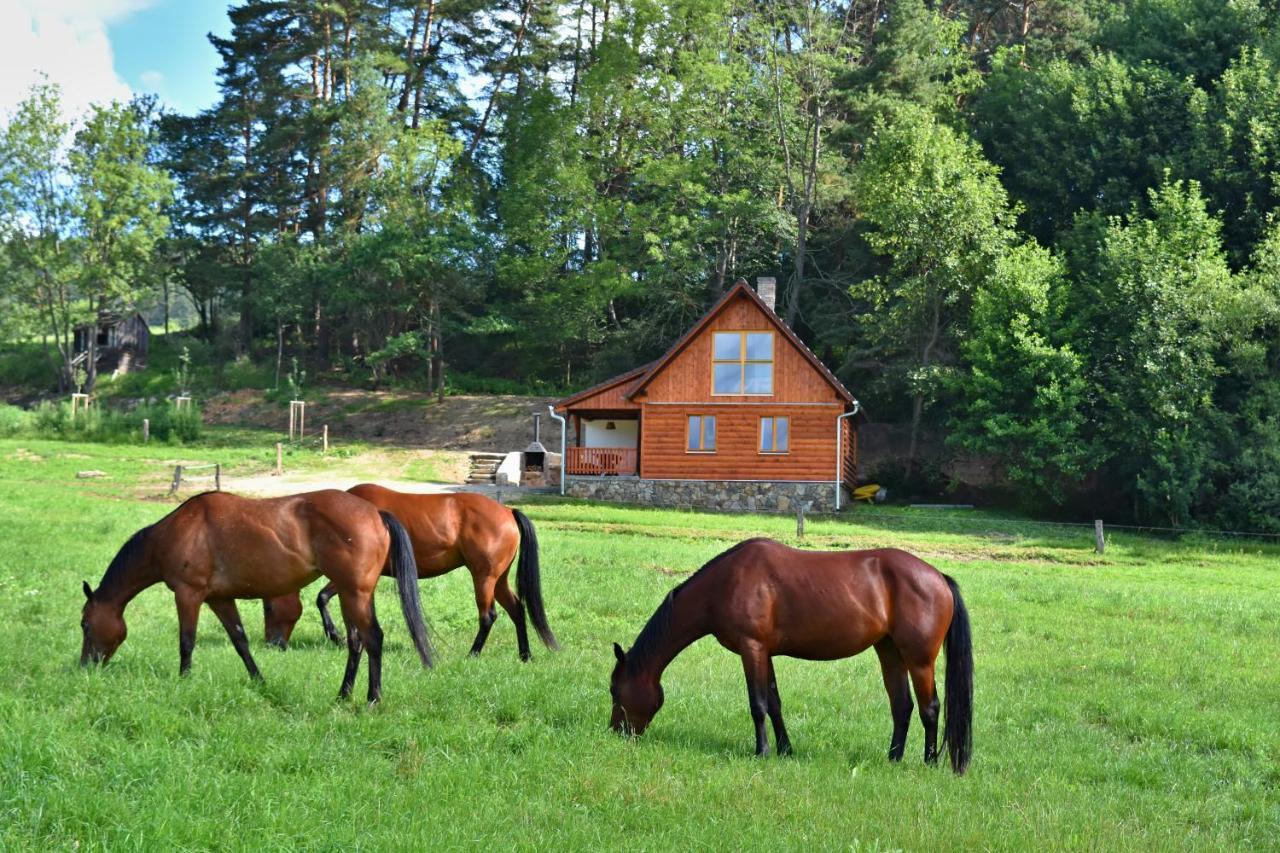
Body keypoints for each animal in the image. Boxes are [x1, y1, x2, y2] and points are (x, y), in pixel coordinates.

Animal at [85, 489, 437, 701]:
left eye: (85, 624)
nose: (86, 665)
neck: (175, 532)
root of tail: (376, 513)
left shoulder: (188, 595)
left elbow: (186, 641)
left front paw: (184, 681)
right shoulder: (219, 599)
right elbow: (240, 641)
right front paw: (259, 680)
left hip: (353, 593)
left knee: (373, 638)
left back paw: (372, 698)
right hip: (355, 595)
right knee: (356, 642)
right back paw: (343, 694)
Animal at [262, 484, 558, 655]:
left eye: (268, 607)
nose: (271, 643)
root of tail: (507, 512)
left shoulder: (350, 577)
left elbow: (321, 597)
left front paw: (336, 636)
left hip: (483, 578)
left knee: (488, 616)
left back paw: (472, 654)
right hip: (498, 579)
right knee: (517, 609)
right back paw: (525, 655)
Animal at [609, 537, 967, 768]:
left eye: (614, 691)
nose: (616, 732)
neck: (725, 583)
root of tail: (939, 577)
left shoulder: (751, 648)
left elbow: (757, 704)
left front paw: (762, 752)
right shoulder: (764, 652)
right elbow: (774, 702)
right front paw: (785, 750)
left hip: (919, 660)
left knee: (930, 708)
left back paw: (929, 762)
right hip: (889, 652)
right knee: (902, 706)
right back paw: (892, 759)